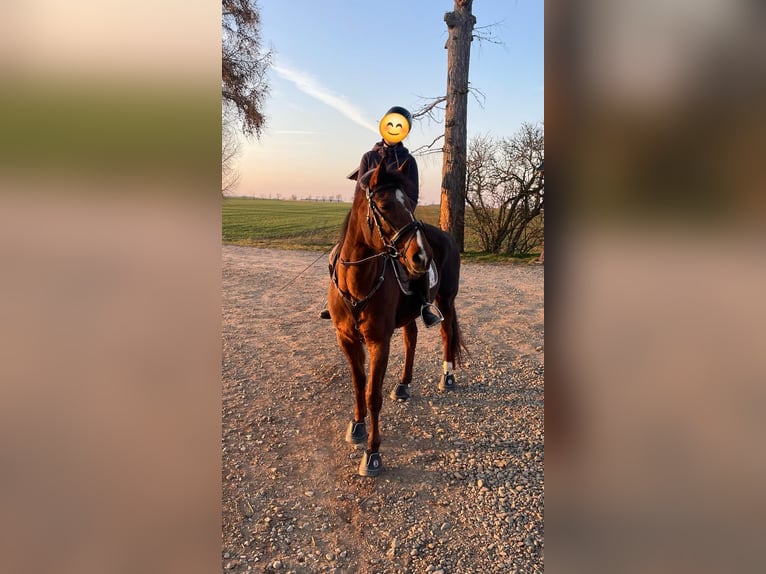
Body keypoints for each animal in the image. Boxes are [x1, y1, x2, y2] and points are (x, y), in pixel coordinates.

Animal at [328, 159, 466, 477]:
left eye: (411, 204)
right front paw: (357, 426)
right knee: (411, 338)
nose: (422, 257)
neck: (357, 282)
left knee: (447, 334)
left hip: (446, 300)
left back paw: (447, 377)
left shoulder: (379, 342)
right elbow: (358, 385)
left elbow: (372, 395)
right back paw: (404, 384)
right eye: (385, 205)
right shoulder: (346, 339)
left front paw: (373, 453)